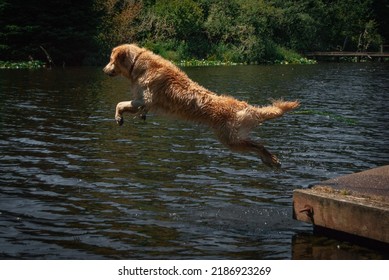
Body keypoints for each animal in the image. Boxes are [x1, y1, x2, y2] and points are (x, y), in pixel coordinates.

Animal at [102, 43, 298, 166]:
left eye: (111, 60)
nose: (103, 70)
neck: (138, 64)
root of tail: (244, 106)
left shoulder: (143, 99)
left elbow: (120, 104)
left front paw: (119, 118)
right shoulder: (146, 102)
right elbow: (139, 109)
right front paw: (141, 115)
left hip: (231, 140)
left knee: (258, 145)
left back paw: (271, 160)